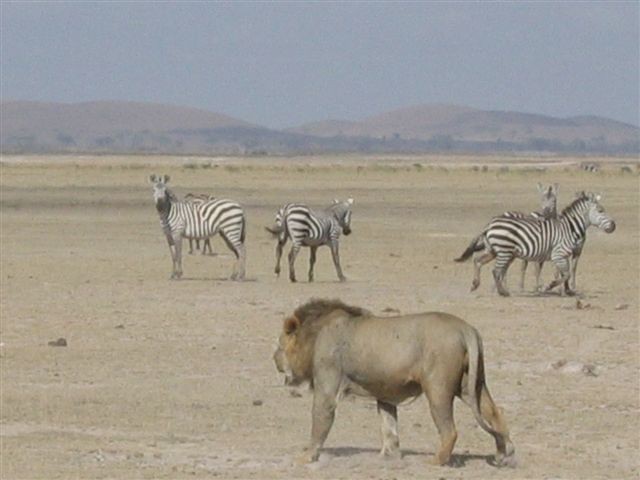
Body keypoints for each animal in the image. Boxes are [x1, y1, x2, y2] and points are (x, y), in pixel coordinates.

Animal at [272, 298, 516, 466]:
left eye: (280, 345)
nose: (274, 358)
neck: (314, 336)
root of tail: (466, 329)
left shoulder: (327, 386)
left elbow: (319, 423)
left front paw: (306, 457)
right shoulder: (385, 393)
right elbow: (389, 427)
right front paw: (390, 456)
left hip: (437, 389)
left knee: (450, 431)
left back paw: (436, 461)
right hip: (471, 386)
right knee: (496, 414)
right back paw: (504, 454)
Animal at [456, 191, 616, 296]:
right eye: (601, 211)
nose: (614, 226)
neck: (569, 228)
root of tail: (489, 224)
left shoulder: (565, 255)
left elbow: (566, 274)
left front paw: (567, 290)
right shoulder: (558, 254)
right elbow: (566, 274)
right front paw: (549, 286)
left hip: (494, 251)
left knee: (478, 261)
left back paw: (476, 285)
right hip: (504, 251)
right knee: (496, 271)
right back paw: (503, 292)